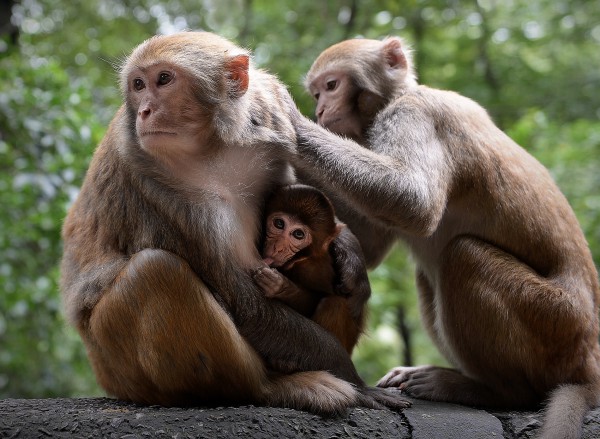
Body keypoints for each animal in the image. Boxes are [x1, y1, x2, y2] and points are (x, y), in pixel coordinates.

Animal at [61, 32, 410, 414]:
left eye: (163, 79)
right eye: (138, 85)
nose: (144, 111)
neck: (210, 149)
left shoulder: (268, 139)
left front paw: (348, 250)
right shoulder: (153, 184)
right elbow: (245, 303)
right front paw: (355, 380)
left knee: (342, 292)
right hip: (121, 370)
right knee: (153, 271)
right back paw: (274, 388)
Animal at [292, 36, 600, 438]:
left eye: (331, 85)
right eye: (316, 93)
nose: (320, 110)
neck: (395, 98)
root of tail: (588, 364)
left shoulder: (413, 115)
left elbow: (411, 200)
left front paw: (281, 117)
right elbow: (371, 242)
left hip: (554, 324)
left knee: (463, 255)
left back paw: (491, 390)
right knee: (430, 274)